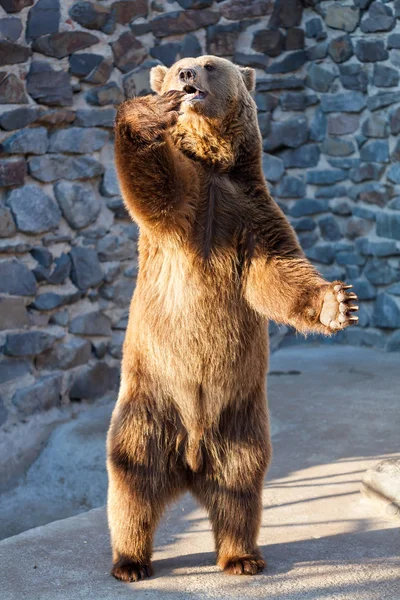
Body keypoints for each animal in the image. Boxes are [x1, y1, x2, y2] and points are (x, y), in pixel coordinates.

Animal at [107, 55, 360, 580]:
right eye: (180, 66)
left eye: (209, 64)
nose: (187, 79)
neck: (215, 166)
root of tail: (189, 463)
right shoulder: (186, 210)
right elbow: (151, 184)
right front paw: (150, 113)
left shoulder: (251, 213)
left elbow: (277, 274)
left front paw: (338, 303)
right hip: (149, 401)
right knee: (132, 480)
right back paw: (130, 561)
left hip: (239, 419)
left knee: (240, 487)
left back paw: (241, 555)